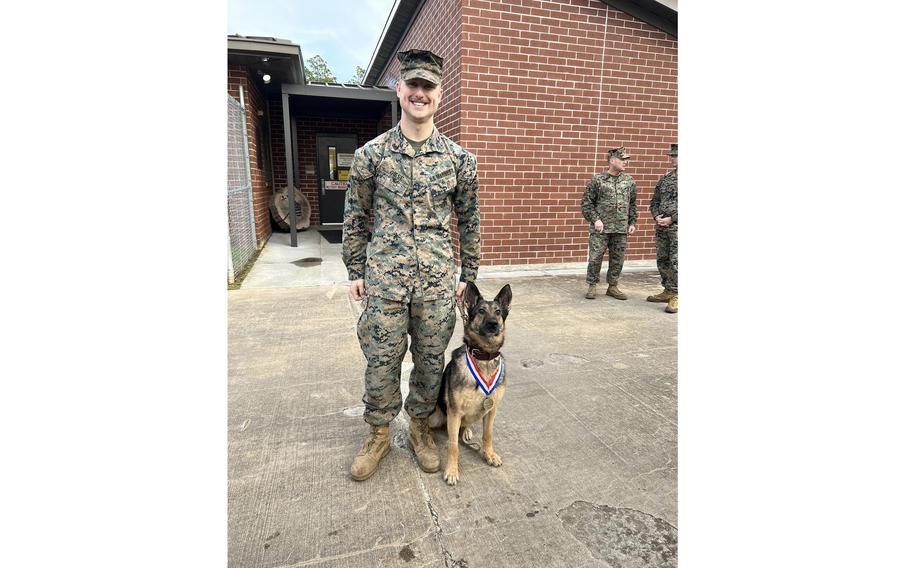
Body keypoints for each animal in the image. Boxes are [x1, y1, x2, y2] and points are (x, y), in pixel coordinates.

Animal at [430, 282, 512, 486]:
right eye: (481, 311)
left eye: (498, 312)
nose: (493, 324)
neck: (484, 357)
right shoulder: (454, 412)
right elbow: (453, 446)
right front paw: (452, 470)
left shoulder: (491, 410)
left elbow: (487, 435)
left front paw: (489, 454)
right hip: (438, 416)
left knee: (466, 424)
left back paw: (466, 431)